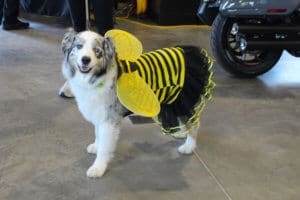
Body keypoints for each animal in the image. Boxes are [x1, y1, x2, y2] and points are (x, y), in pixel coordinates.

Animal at [59, 29, 212, 178]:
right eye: (79, 46)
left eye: (97, 51)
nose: (85, 59)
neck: (97, 76)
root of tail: (187, 52)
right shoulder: (99, 113)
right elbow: (97, 134)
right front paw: (96, 146)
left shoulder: (109, 120)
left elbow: (105, 147)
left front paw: (98, 168)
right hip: (174, 100)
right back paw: (181, 133)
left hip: (182, 99)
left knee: (194, 123)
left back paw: (189, 146)